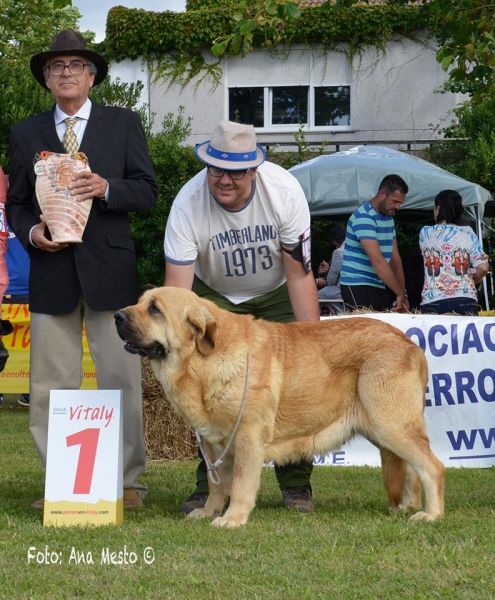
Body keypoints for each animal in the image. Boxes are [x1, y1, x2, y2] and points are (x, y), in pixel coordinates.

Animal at [115, 288, 446, 528]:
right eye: (140, 302)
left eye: (155, 309)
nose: (117, 315)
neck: (203, 362)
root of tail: (410, 344)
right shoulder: (213, 443)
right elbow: (216, 485)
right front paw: (208, 512)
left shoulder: (248, 436)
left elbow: (241, 484)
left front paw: (233, 519)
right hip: (385, 432)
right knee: (412, 469)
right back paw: (407, 507)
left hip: (389, 425)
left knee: (433, 466)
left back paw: (430, 515)